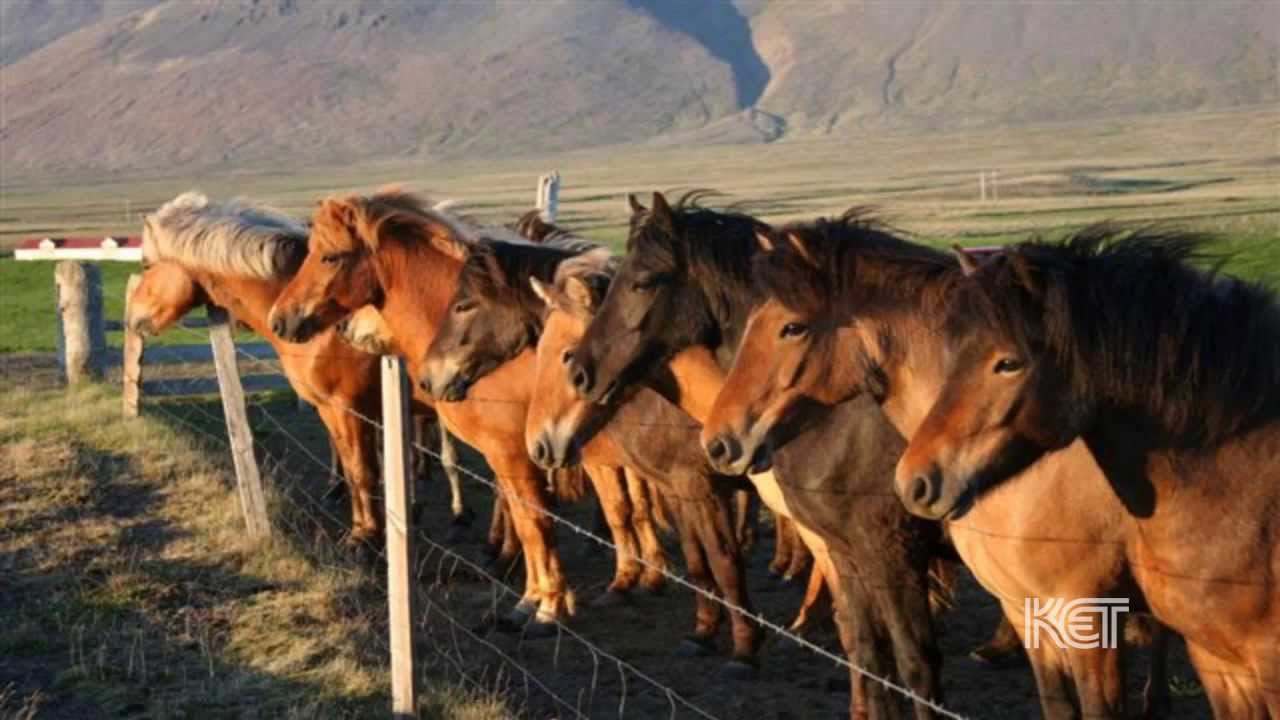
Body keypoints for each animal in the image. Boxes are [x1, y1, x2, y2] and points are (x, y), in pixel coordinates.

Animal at [268, 189, 588, 629]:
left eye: (330, 257)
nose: (280, 319)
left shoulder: (511, 453)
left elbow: (534, 521)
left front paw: (546, 607)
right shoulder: (504, 455)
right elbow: (524, 520)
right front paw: (531, 594)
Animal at [419, 233, 763, 675]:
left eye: (464, 304)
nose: (428, 377)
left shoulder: (694, 484)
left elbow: (720, 560)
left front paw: (744, 650)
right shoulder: (675, 486)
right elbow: (692, 555)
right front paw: (699, 631)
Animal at [565, 191, 950, 719]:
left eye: (642, 281)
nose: (581, 372)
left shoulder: (891, 552)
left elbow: (913, 667)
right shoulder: (844, 547)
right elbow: (868, 650)